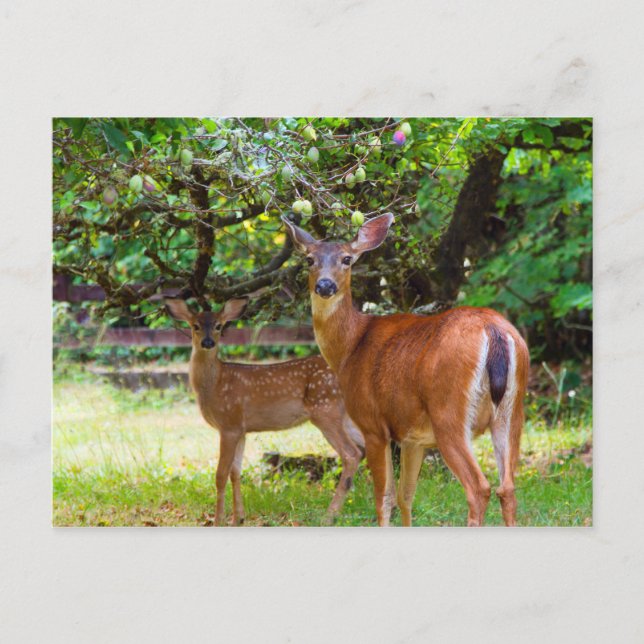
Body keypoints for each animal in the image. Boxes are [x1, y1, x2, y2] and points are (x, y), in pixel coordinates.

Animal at [165, 297, 365, 526]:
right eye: (195, 326)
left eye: (218, 326)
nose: (208, 343)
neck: (214, 384)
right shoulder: (241, 429)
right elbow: (236, 472)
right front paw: (239, 518)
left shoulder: (229, 423)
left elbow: (220, 475)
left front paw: (218, 520)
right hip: (347, 416)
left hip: (326, 410)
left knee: (352, 454)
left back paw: (329, 516)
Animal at [282, 213, 530, 527]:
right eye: (310, 259)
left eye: (347, 259)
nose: (325, 286)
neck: (350, 348)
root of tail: (494, 331)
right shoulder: (414, 438)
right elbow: (406, 497)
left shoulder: (373, 424)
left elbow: (384, 498)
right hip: (513, 411)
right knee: (507, 488)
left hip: (449, 412)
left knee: (479, 488)